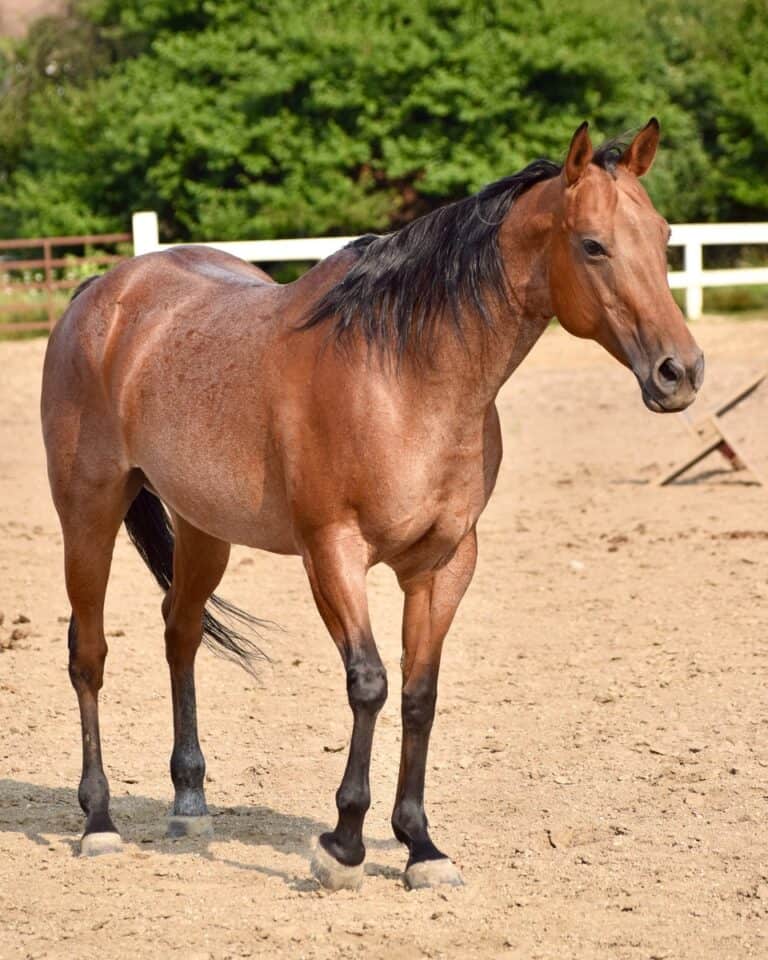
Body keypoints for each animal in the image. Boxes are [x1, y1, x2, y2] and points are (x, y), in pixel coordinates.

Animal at [41, 118, 704, 891]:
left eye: (662, 237)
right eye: (593, 244)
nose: (680, 372)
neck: (403, 376)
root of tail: (103, 291)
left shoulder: (444, 563)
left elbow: (420, 693)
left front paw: (421, 846)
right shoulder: (333, 552)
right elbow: (369, 684)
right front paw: (344, 844)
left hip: (205, 528)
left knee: (182, 631)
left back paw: (189, 802)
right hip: (89, 512)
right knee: (88, 654)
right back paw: (98, 821)